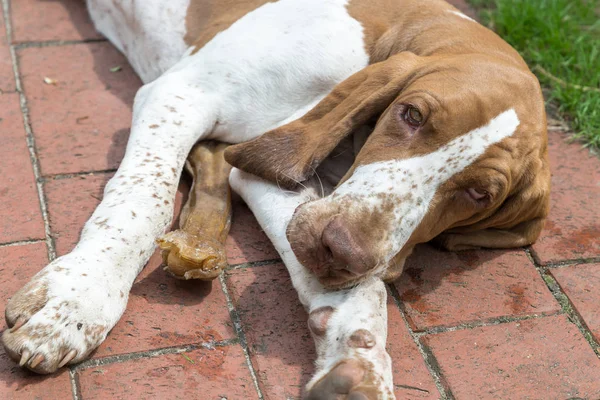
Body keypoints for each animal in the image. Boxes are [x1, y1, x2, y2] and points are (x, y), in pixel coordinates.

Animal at [3, 1, 548, 398]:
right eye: (411, 114)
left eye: (479, 194)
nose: (339, 248)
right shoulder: (181, 93)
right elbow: (143, 198)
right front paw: (77, 300)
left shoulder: (271, 179)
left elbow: (362, 285)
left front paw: (356, 360)